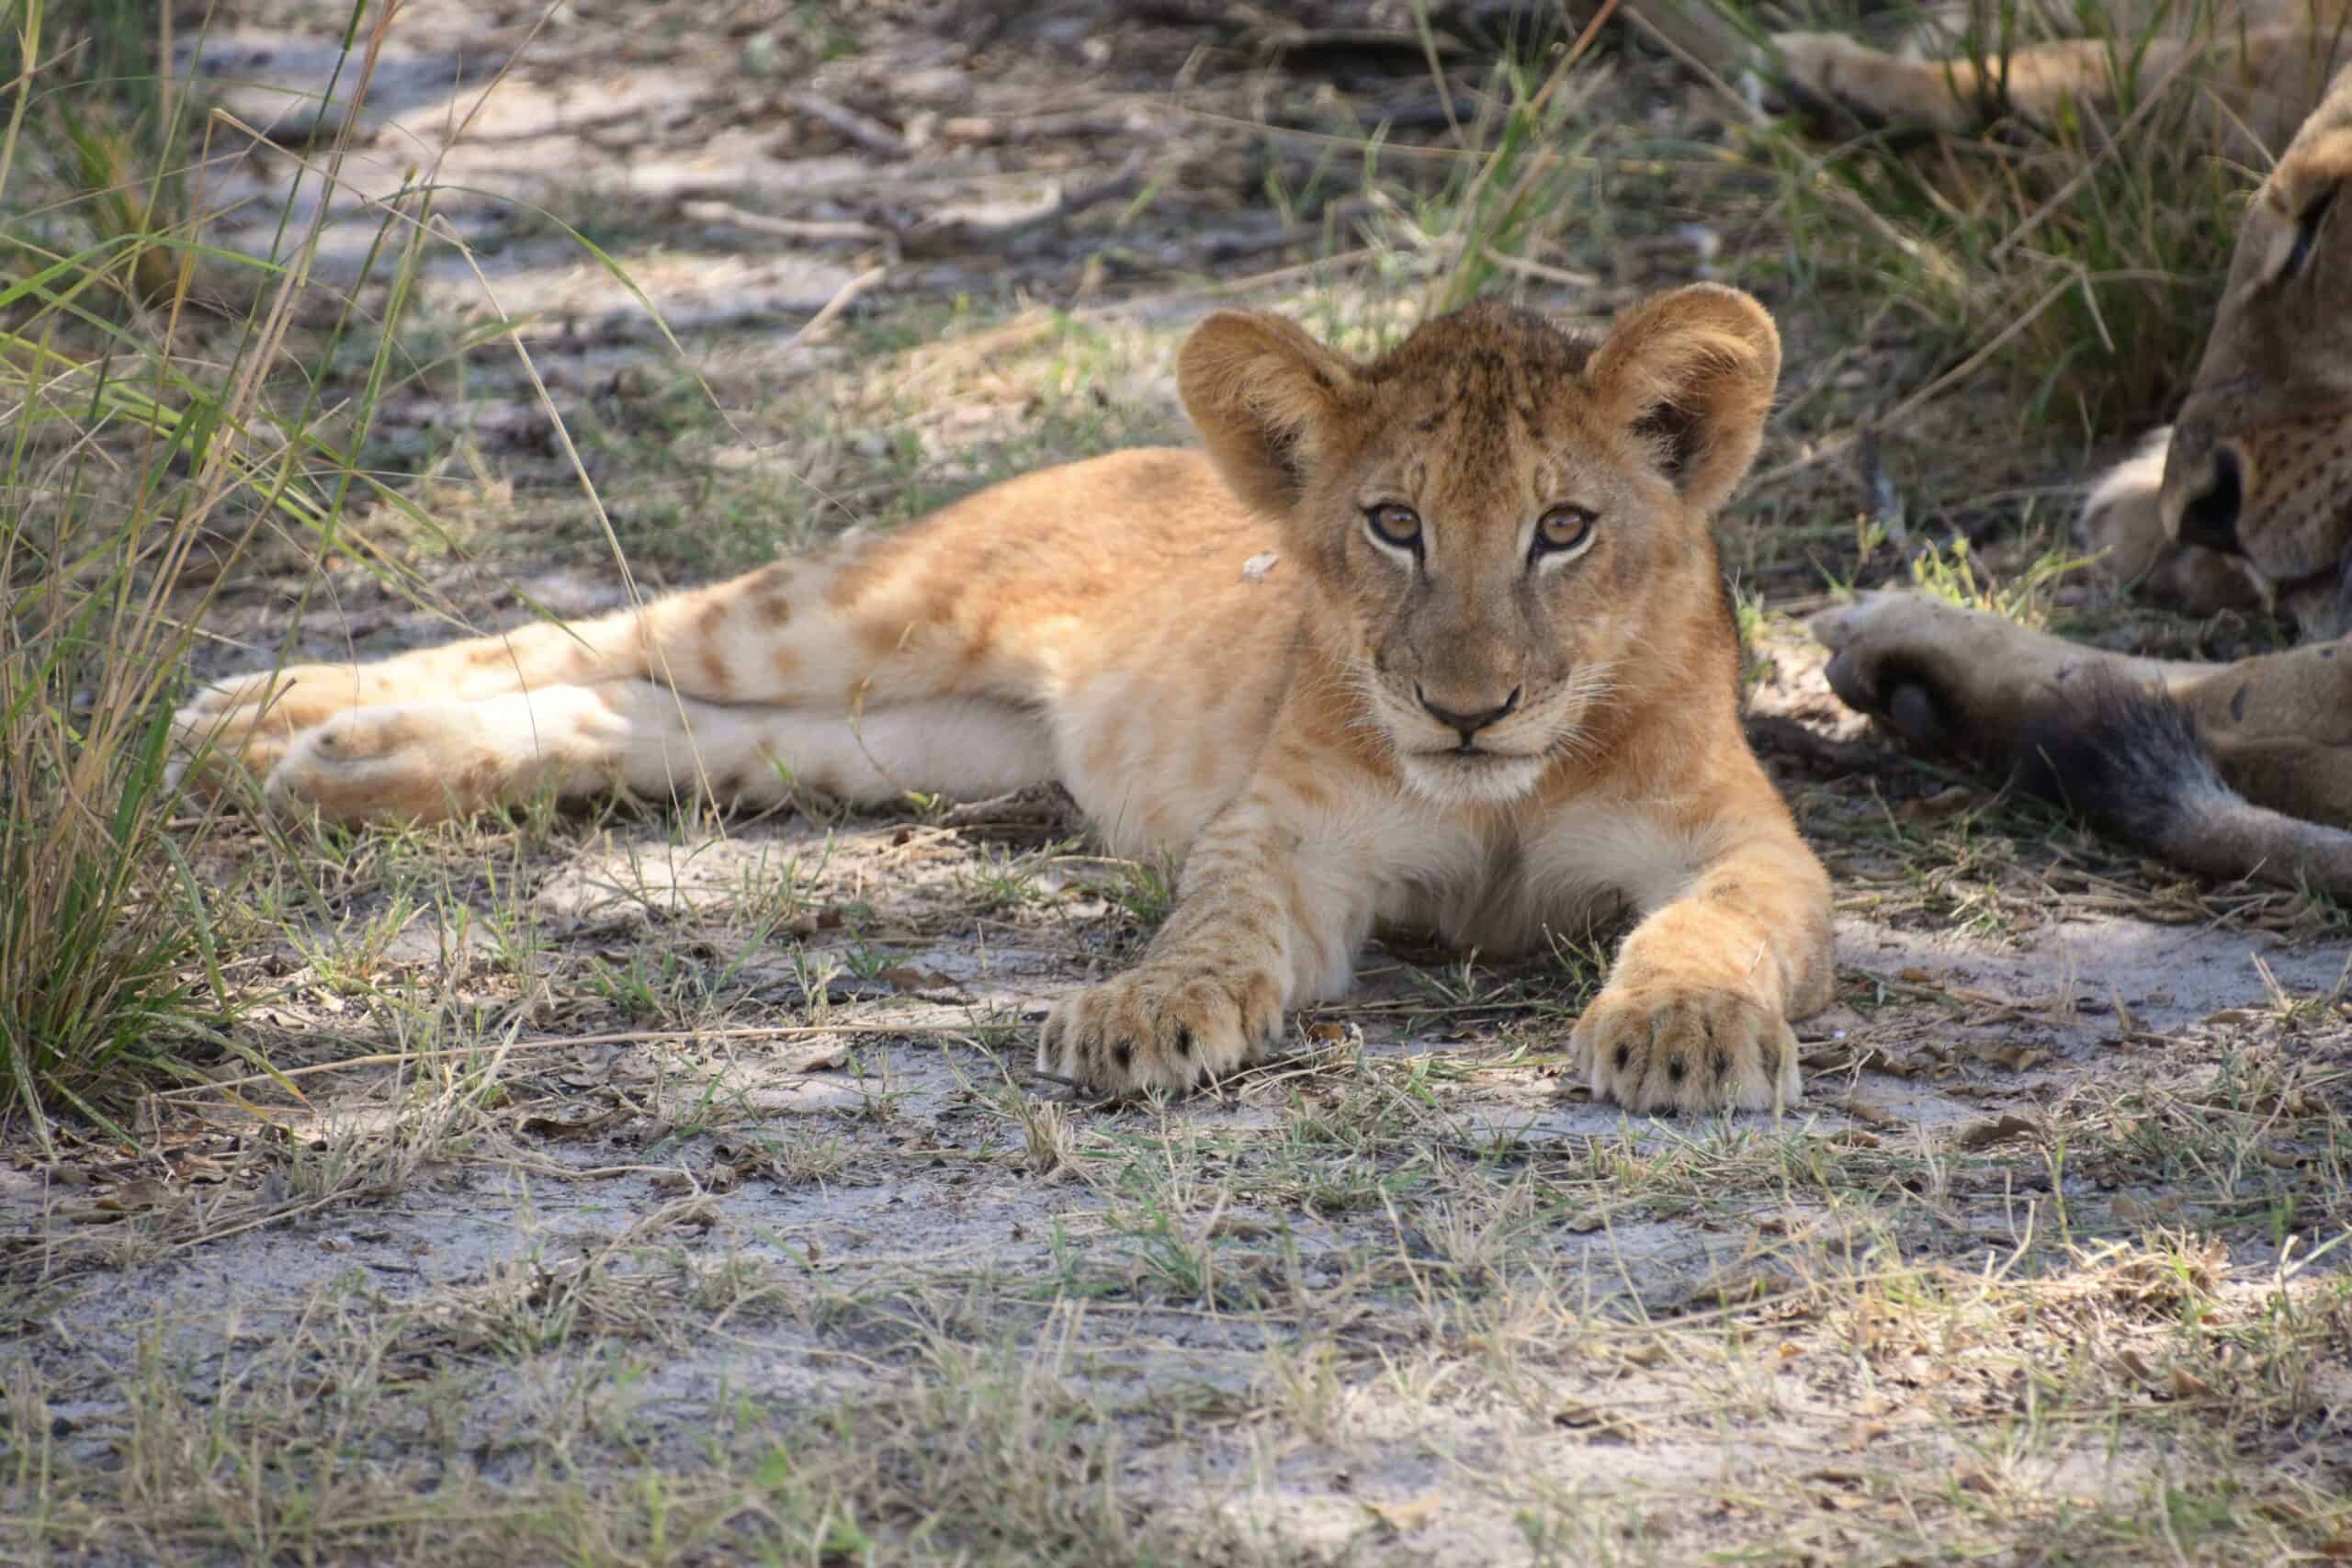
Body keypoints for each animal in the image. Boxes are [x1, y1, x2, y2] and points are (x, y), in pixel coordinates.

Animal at [174, 285, 1836, 1112]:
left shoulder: (1753, 845)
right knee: (591, 631)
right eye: (1394, 525)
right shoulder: (1287, 834)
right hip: (858, 609)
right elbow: (1214, 926)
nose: (1467, 709)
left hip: (920, 746)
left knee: (646, 720)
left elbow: (1710, 923)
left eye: (1563, 528)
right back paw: (262, 716)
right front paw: (1142, 1015)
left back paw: (345, 759)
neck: (1503, 797)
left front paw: (1683, 1030)